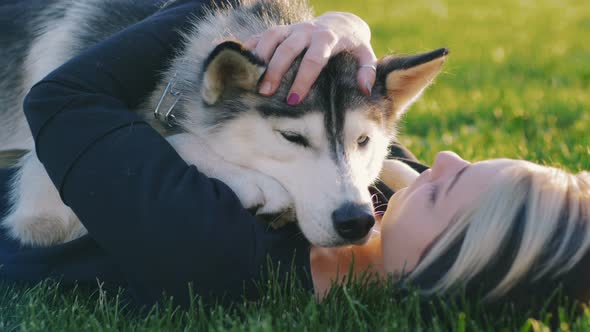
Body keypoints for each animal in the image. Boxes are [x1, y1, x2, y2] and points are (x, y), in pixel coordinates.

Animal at [0, 0, 448, 248]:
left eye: (363, 140)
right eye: (292, 137)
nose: (355, 220)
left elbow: (392, 165)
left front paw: (418, 179)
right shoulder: (42, 203)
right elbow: (170, 140)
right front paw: (253, 182)